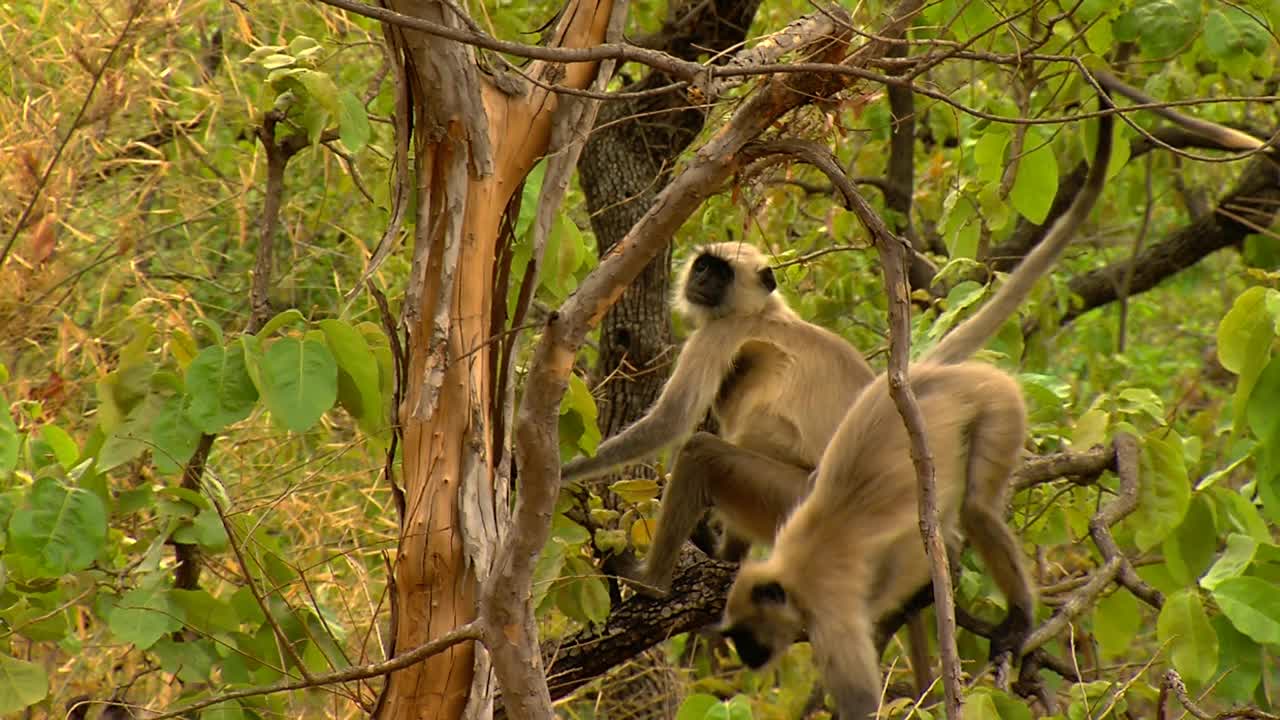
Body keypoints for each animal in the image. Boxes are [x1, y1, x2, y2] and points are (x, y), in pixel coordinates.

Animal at [721, 106, 1111, 717]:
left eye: (746, 635)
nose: (746, 657)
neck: (794, 566)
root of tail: (928, 378)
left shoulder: (829, 608)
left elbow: (860, 702)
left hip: (999, 404)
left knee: (977, 510)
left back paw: (1017, 617)